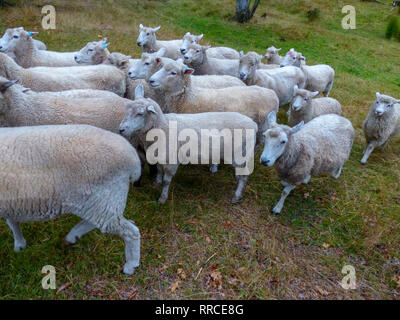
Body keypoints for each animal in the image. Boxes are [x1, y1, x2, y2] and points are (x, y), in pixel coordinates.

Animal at [0, 124, 142, 274]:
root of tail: (133, 159)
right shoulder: (11, 202)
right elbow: (12, 222)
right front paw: (20, 244)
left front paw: (19, 244)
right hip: (101, 202)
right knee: (96, 222)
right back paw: (73, 236)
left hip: (104, 197)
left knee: (131, 232)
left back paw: (131, 265)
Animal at [119, 85, 256, 204]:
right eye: (126, 109)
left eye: (140, 114)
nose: (121, 129)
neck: (163, 126)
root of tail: (253, 124)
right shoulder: (160, 155)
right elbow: (159, 171)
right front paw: (156, 184)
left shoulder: (171, 161)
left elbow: (166, 181)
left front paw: (162, 198)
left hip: (240, 153)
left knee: (244, 176)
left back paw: (236, 196)